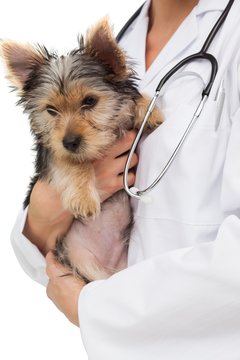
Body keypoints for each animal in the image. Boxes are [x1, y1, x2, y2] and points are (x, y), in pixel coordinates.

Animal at [0, 18, 163, 282]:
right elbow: (71, 162)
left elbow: (131, 100)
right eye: (51, 110)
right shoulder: (51, 153)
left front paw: (149, 110)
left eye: (90, 101)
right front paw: (84, 199)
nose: (70, 142)